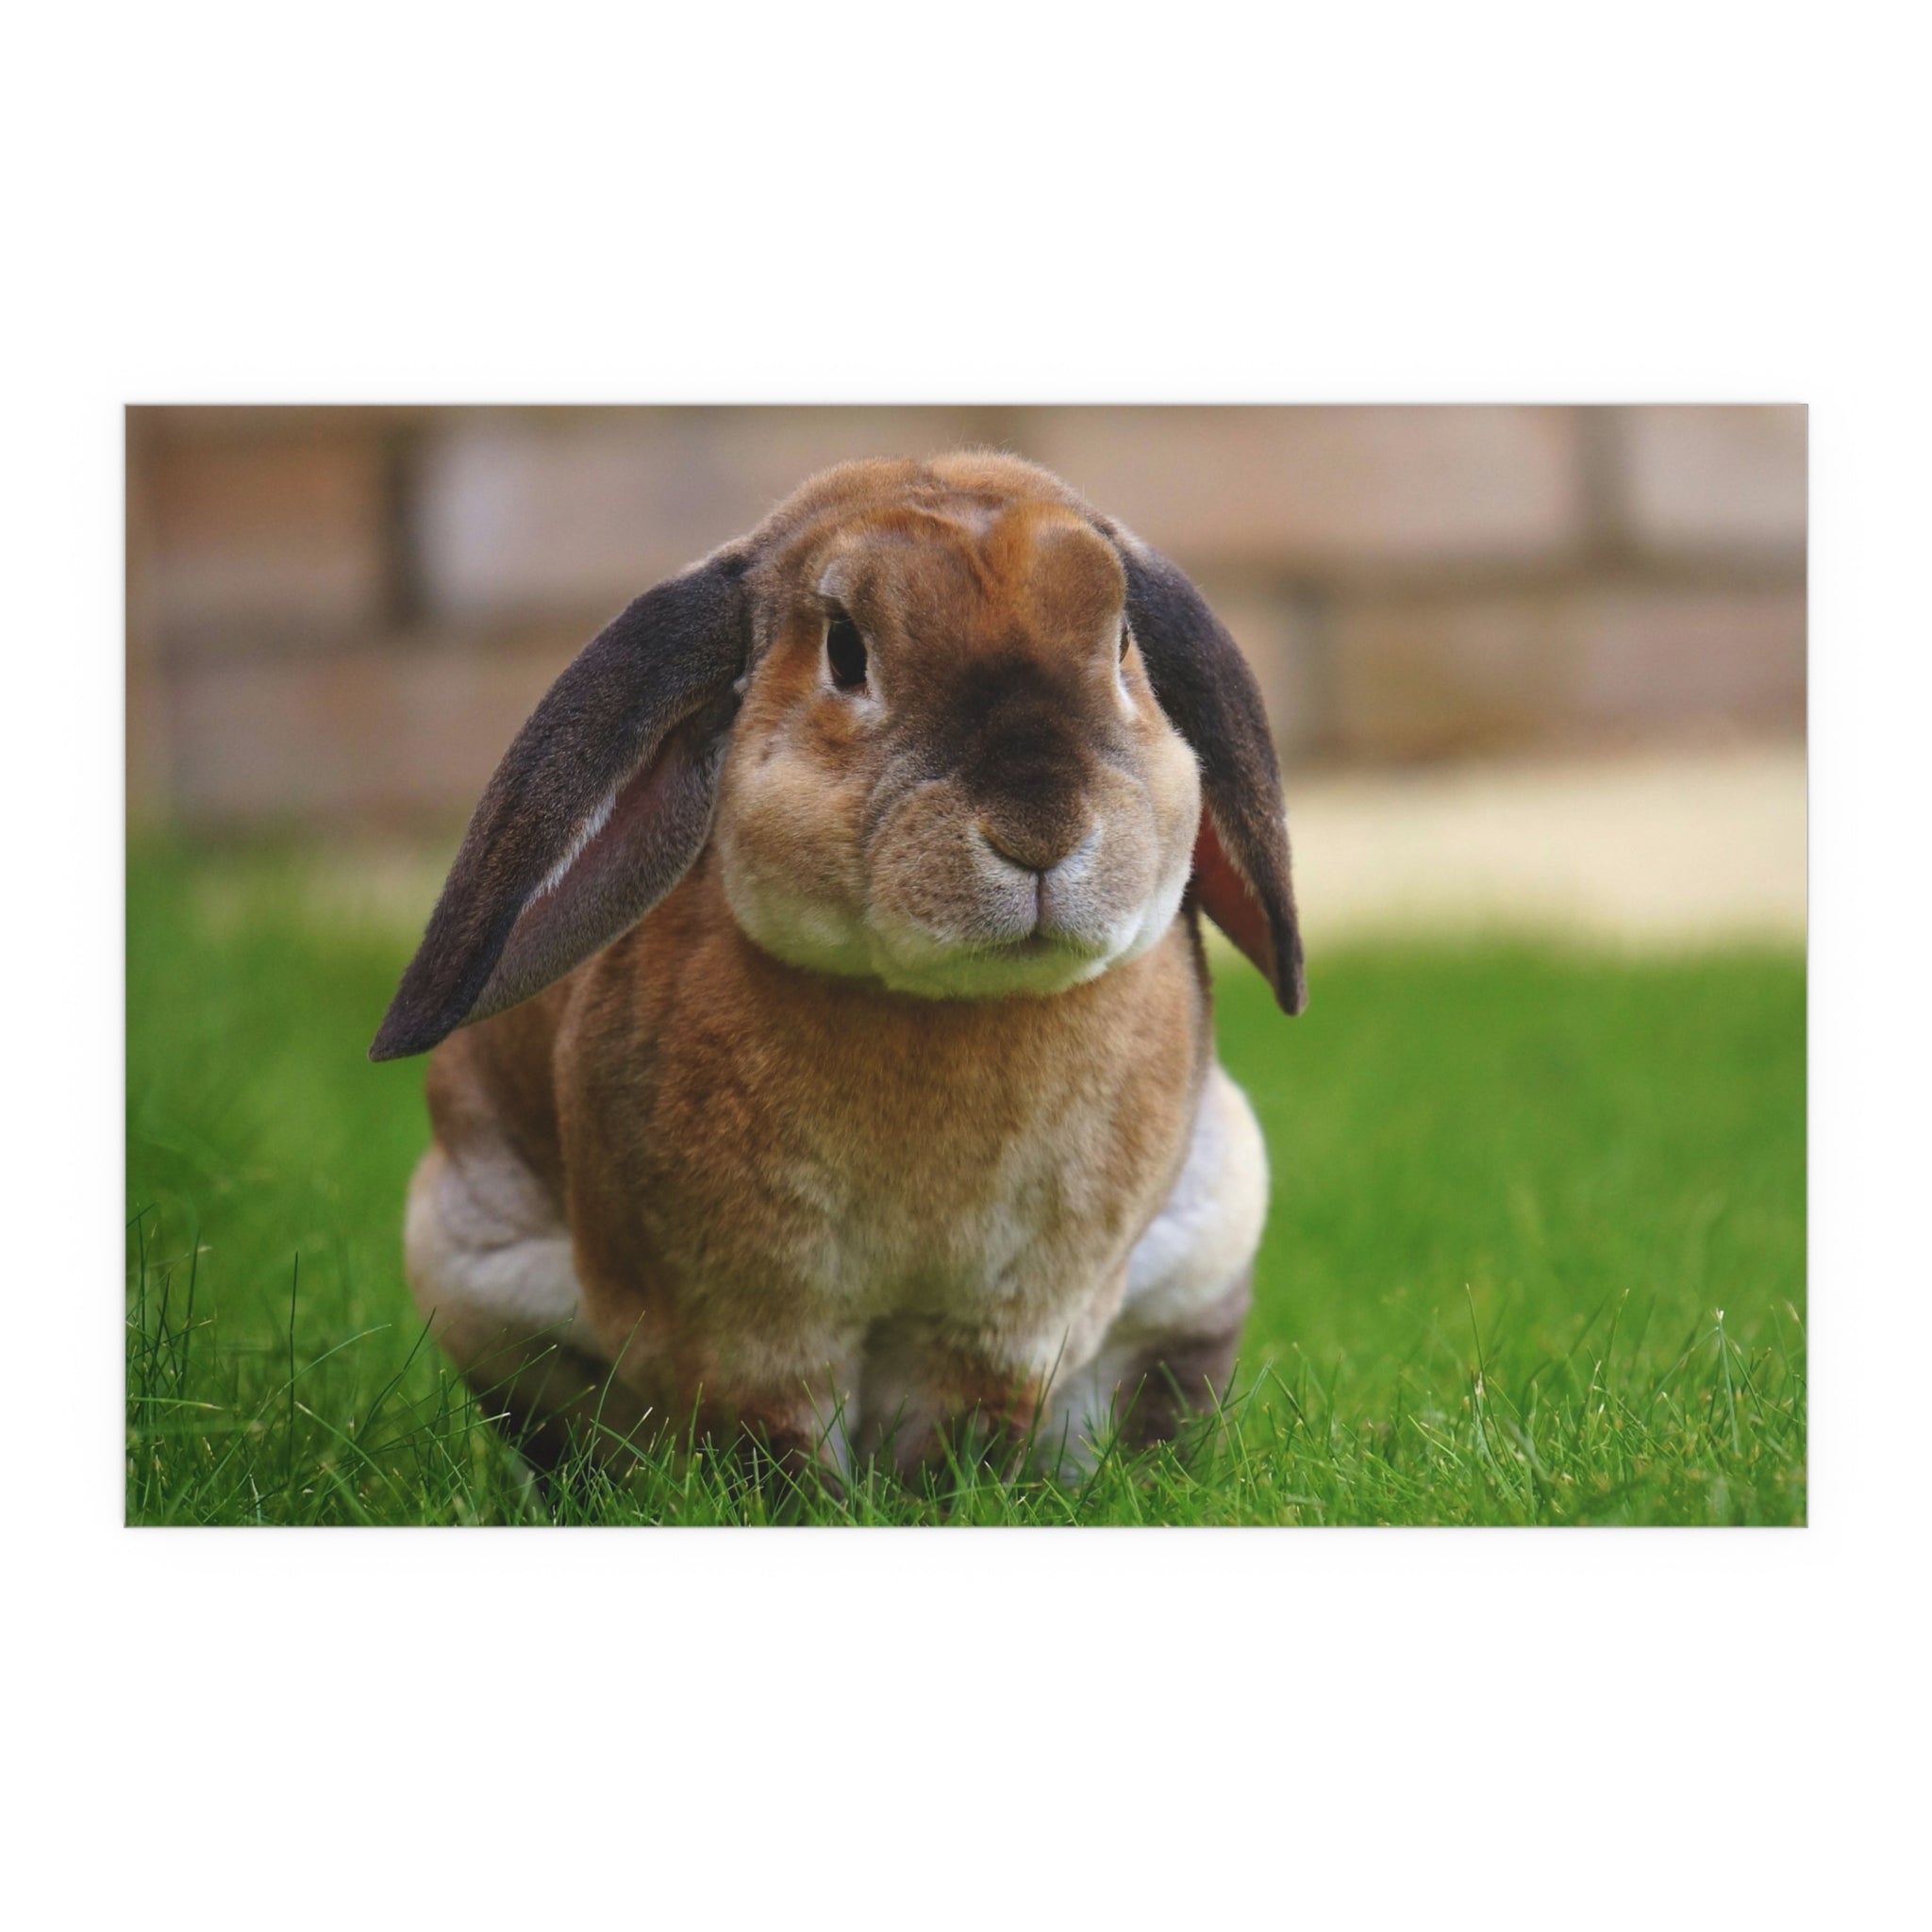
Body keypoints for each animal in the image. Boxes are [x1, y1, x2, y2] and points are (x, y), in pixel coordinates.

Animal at [371, 451, 1305, 1480]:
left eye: (1122, 641)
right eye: (846, 652)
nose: (1039, 829)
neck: (944, 1008)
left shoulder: (1001, 1329)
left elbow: (959, 1434)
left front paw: (948, 1497)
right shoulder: (751, 1329)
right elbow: (777, 1442)